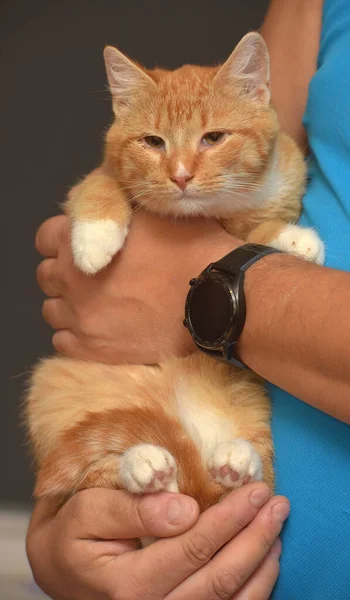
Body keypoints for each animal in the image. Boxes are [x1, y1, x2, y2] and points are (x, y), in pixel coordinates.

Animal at [26, 31, 324, 516]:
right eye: (153, 142)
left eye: (213, 138)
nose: (181, 176)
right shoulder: (99, 176)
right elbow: (101, 186)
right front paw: (94, 240)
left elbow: (253, 229)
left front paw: (294, 238)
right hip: (52, 387)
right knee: (103, 476)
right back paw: (146, 466)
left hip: (248, 394)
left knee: (245, 474)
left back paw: (234, 460)